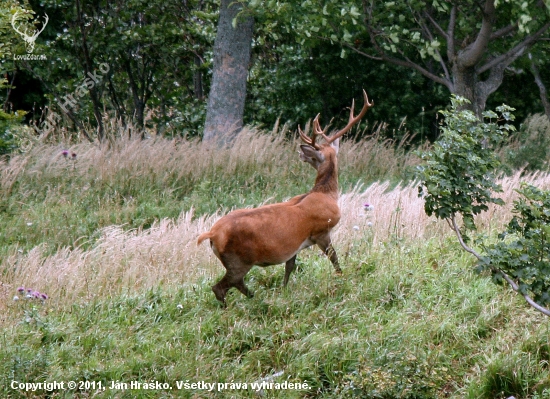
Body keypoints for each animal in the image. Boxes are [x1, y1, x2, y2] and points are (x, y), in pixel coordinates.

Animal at [198, 90, 376, 304]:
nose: (301, 154)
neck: (325, 193)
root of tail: (212, 234)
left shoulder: (295, 244)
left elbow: (289, 267)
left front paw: (284, 289)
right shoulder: (321, 230)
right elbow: (334, 257)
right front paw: (342, 277)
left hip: (235, 260)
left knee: (234, 284)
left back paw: (256, 299)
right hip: (238, 259)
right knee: (220, 287)